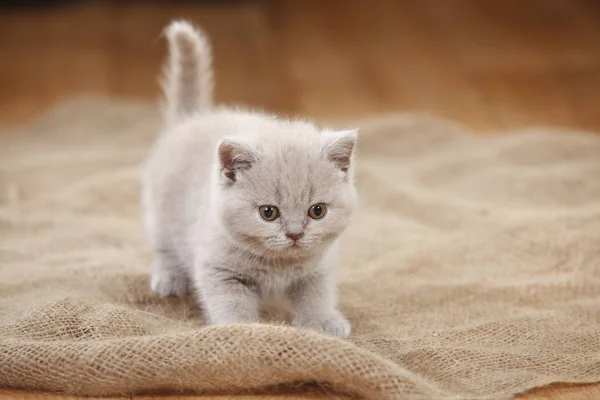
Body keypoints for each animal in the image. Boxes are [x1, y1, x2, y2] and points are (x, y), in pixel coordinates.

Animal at [143, 20, 358, 336]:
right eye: (268, 213)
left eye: (317, 211)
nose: (295, 234)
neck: (279, 265)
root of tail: (192, 119)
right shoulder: (219, 270)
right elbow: (232, 304)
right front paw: (242, 331)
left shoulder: (320, 266)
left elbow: (317, 294)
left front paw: (322, 322)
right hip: (160, 209)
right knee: (163, 245)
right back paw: (170, 279)